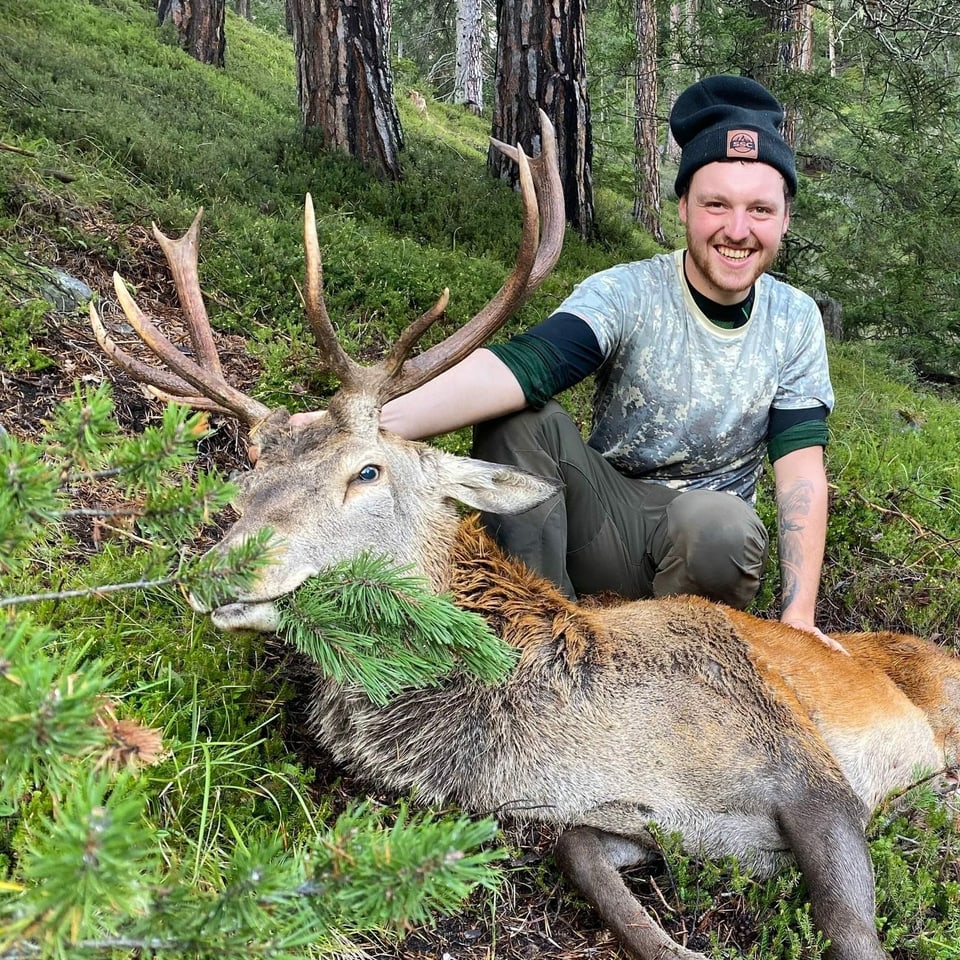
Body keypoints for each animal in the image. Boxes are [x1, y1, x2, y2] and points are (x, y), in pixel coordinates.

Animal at [90, 114, 960, 960]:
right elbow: (580, 852)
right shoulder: (663, 820)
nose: (216, 573)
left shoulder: (807, 770)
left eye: (367, 471)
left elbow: (850, 929)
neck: (569, 746)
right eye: (246, 481)